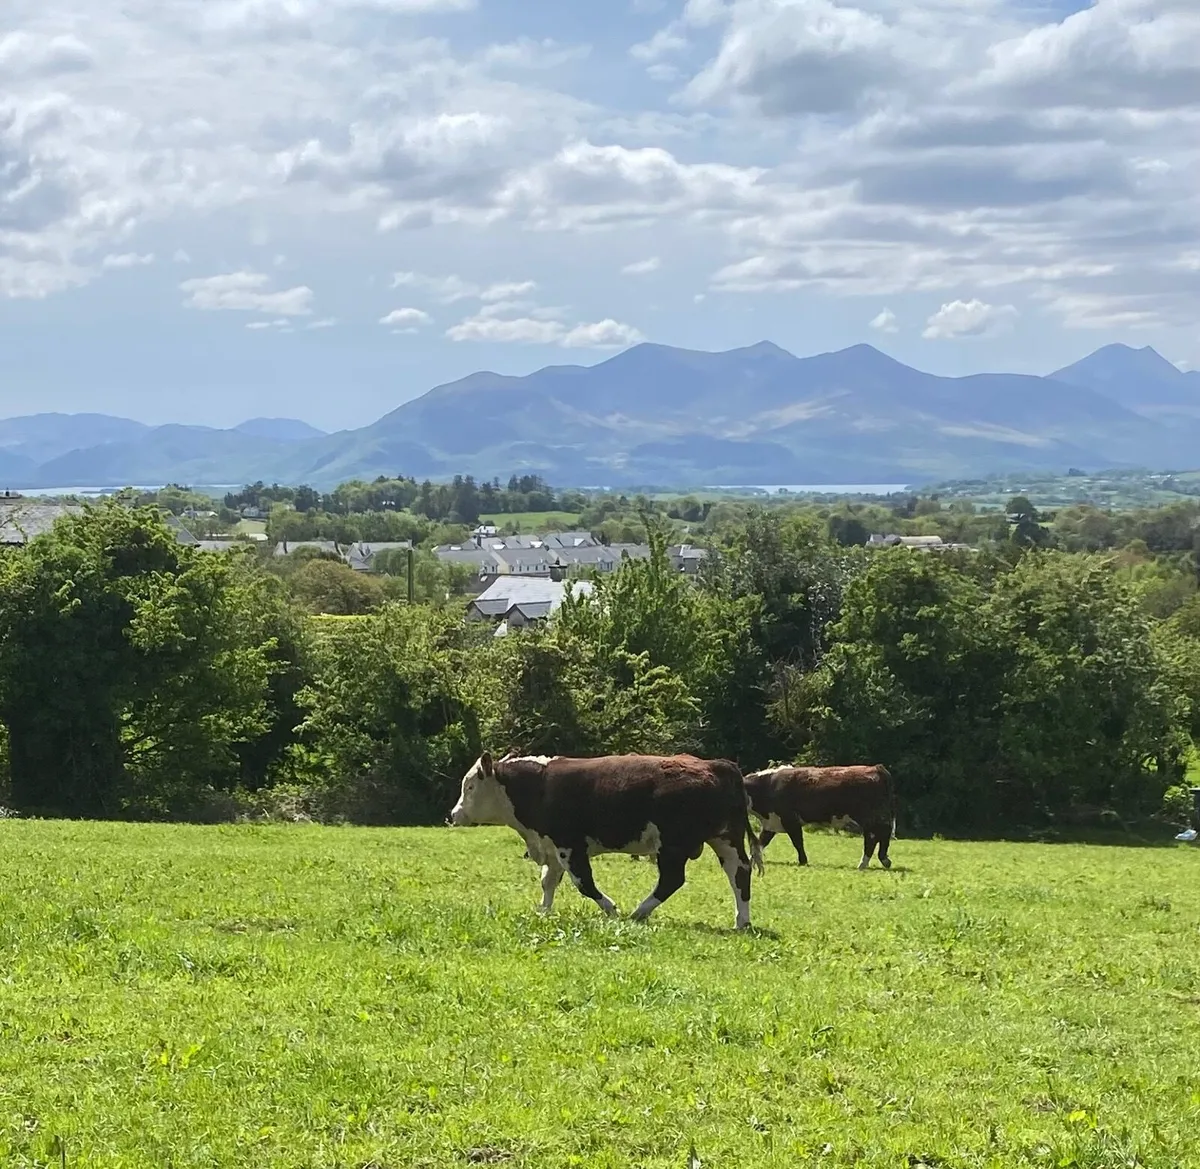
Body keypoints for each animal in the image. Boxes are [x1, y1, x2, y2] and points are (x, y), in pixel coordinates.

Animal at [449, 751, 765, 930]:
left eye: (470, 786)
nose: (453, 815)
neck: (538, 786)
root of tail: (718, 765)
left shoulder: (570, 846)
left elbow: (584, 883)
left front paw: (611, 909)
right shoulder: (551, 846)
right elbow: (548, 882)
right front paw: (544, 911)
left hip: (672, 846)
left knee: (672, 880)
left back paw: (639, 912)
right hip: (725, 839)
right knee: (739, 873)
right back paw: (742, 920)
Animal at [743, 764, 896, 870]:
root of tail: (876, 768)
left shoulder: (790, 820)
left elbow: (797, 842)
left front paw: (803, 861)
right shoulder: (771, 823)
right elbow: (760, 843)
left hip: (870, 818)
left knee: (873, 837)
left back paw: (864, 864)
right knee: (883, 834)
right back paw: (884, 860)